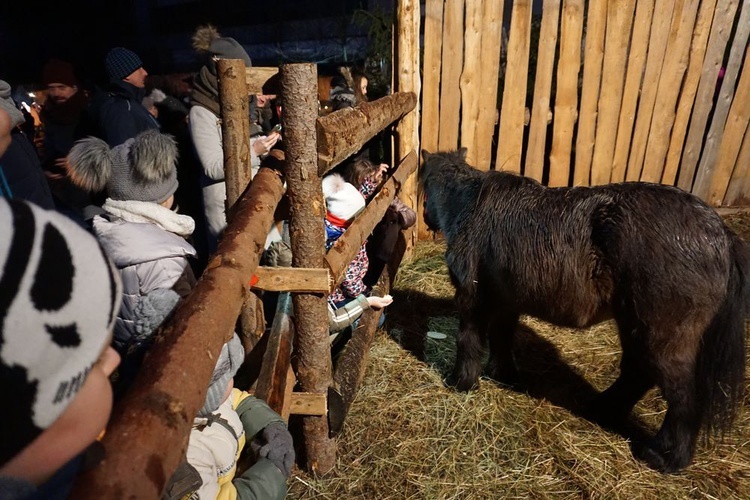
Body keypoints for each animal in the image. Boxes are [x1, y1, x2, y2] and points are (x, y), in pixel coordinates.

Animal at [420, 147, 748, 472]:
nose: (425, 216)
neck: (470, 206)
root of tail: (722, 236)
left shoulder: (472, 300)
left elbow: (469, 340)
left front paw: (461, 382)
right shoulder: (506, 303)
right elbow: (502, 338)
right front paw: (504, 375)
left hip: (662, 338)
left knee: (682, 398)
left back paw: (666, 458)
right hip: (634, 326)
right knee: (637, 373)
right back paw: (602, 410)